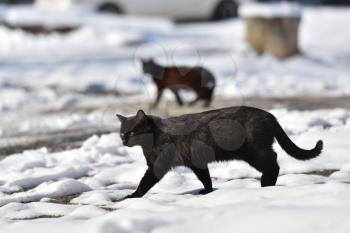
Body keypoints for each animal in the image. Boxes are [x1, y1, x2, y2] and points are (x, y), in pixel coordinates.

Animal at [117, 106, 322, 198]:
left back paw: (266, 184)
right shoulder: (196, 162)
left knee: (274, 164)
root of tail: (269, 115)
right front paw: (207, 191)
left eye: (132, 132)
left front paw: (132, 196)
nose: (124, 140)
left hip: (254, 152)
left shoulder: (158, 165)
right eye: (121, 133)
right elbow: (205, 177)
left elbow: (145, 183)